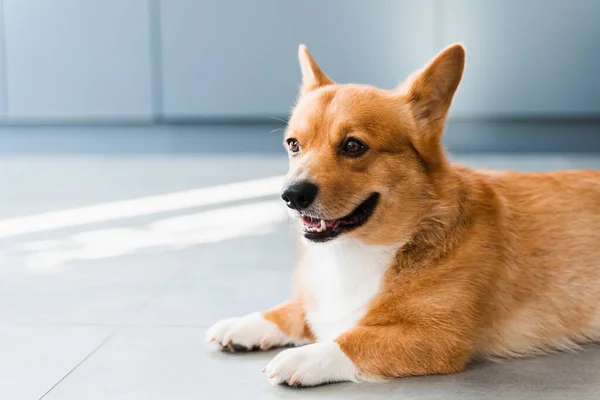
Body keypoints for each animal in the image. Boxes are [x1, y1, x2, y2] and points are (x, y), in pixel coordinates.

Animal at [205, 43, 600, 388]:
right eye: (293, 145)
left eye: (353, 146)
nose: (291, 196)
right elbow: (295, 309)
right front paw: (246, 324)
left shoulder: (438, 336)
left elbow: (354, 340)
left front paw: (305, 357)